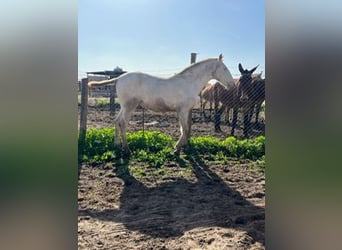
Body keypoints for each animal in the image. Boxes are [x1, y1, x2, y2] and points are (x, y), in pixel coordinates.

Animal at [88, 53, 235, 153]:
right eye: (225, 68)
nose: (232, 85)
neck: (189, 82)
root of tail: (118, 78)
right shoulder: (182, 110)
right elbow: (185, 129)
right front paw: (177, 148)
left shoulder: (183, 111)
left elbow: (184, 129)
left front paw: (180, 148)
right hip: (130, 106)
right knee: (123, 123)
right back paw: (127, 149)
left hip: (124, 106)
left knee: (117, 121)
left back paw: (117, 145)